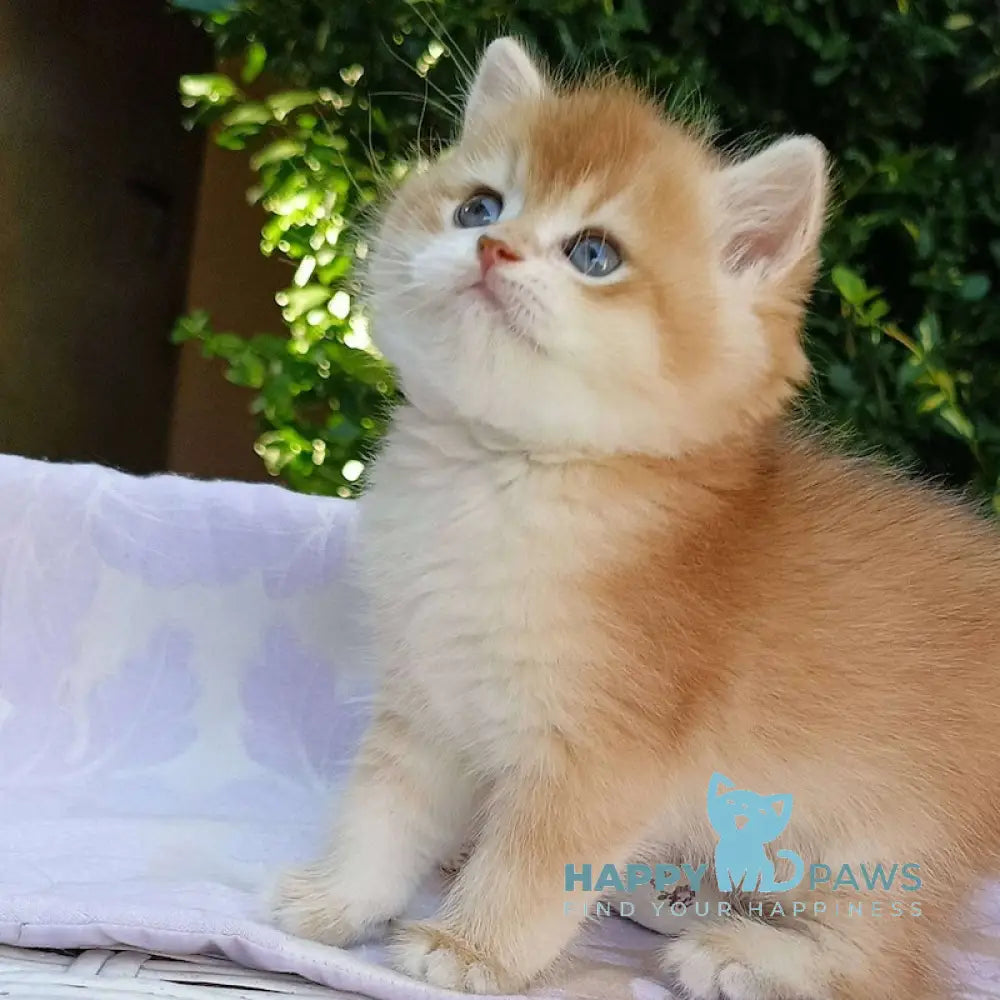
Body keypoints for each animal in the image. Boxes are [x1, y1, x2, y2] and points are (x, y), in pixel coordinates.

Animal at [272, 35, 1000, 996]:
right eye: (478, 206)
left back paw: (741, 956)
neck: (501, 478)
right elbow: (383, 814)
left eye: (594, 254)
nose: (492, 247)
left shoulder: (605, 754)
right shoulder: (428, 698)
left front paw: (469, 947)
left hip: (881, 839)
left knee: (888, 966)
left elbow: (534, 866)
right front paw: (337, 900)